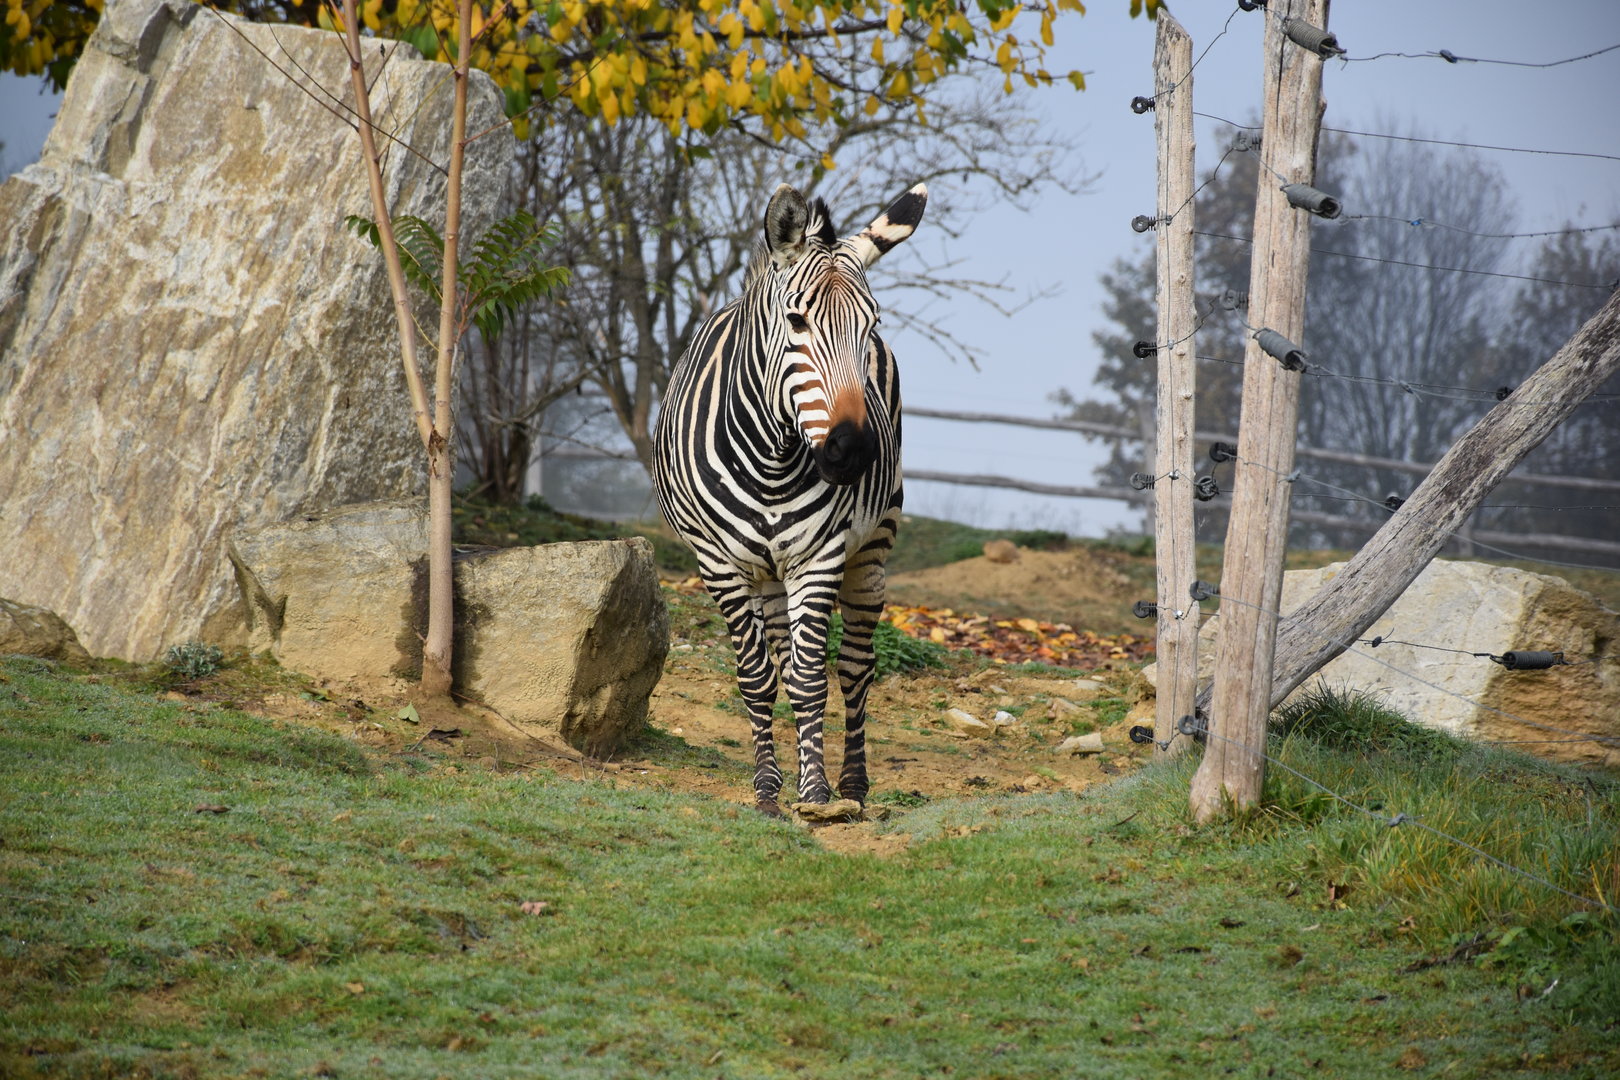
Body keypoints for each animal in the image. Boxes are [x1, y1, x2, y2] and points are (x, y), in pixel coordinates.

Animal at [653, 181, 927, 816]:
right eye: (796, 321)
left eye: (871, 325)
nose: (854, 452)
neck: (771, 459)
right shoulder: (719, 565)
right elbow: (758, 678)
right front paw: (767, 790)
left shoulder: (819, 560)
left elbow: (809, 679)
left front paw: (817, 793)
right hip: (767, 572)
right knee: (778, 653)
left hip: (871, 550)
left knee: (855, 667)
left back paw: (853, 784)